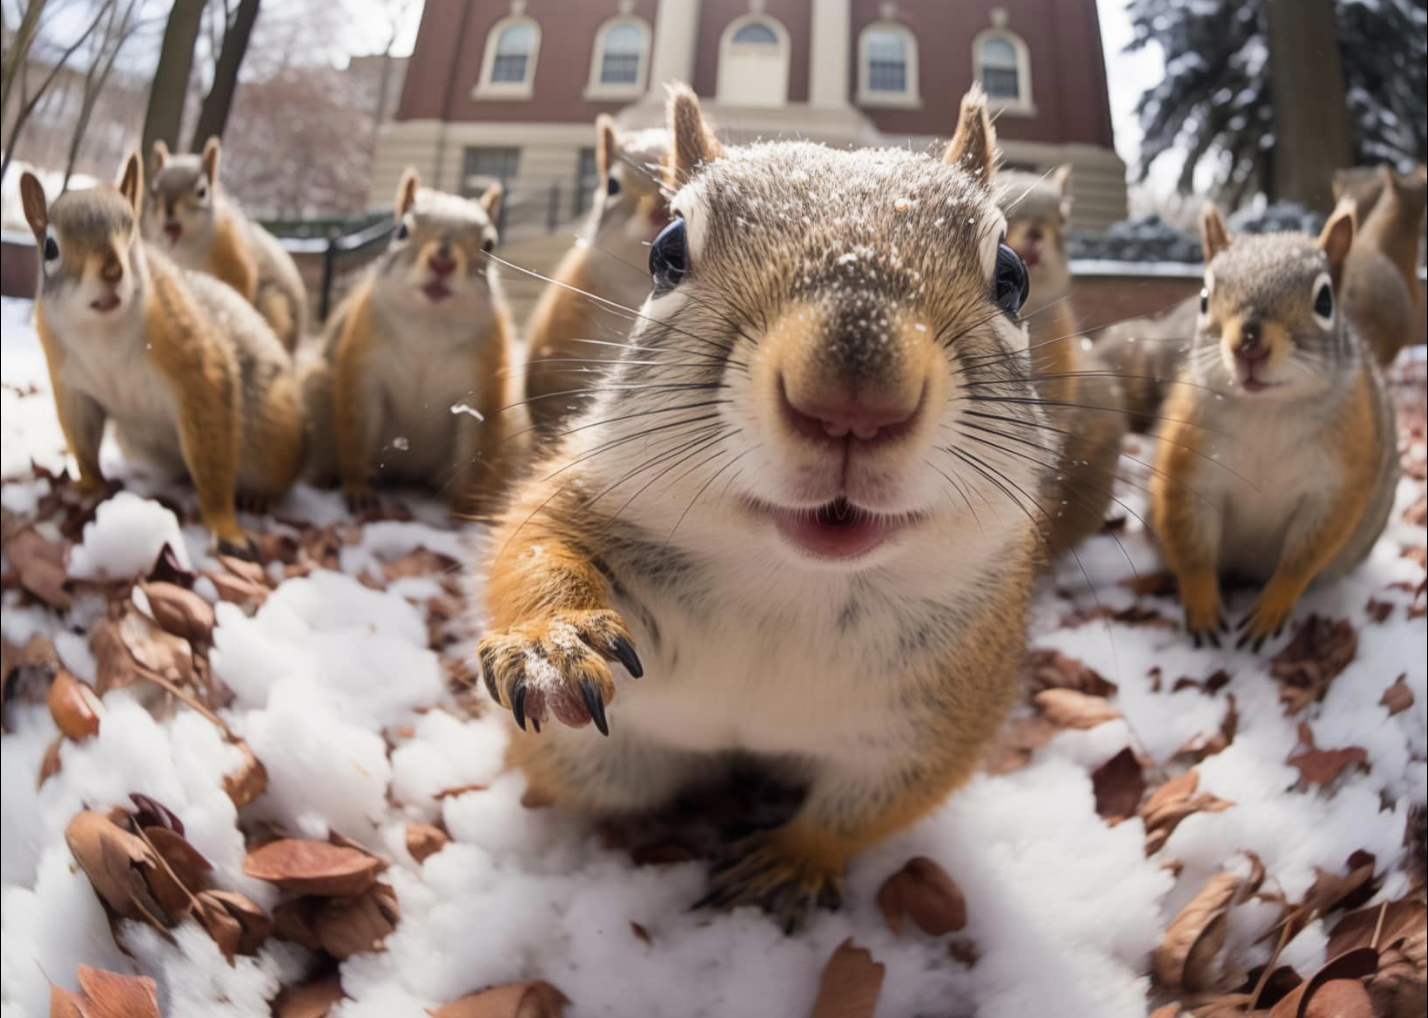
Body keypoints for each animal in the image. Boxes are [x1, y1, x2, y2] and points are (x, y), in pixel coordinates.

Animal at [147, 138, 308, 351]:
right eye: (153, 191)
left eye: (202, 192)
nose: (169, 209)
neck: (186, 244)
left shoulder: (230, 248)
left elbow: (240, 282)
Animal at [300, 167, 527, 513]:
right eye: (402, 231)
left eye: (490, 244)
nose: (442, 262)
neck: (429, 324)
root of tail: (409, 472)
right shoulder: (364, 363)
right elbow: (356, 430)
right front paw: (357, 490)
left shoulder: (484, 380)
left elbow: (476, 446)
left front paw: (464, 508)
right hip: (319, 392)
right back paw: (325, 478)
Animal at [1151, 204, 1399, 651]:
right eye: (1203, 298)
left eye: (1325, 300)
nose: (1249, 344)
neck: (1267, 409)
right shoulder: (1188, 465)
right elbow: (1191, 545)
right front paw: (1201, 603)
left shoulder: (1339, 480)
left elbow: (1306, 553)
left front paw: (1275, 604)